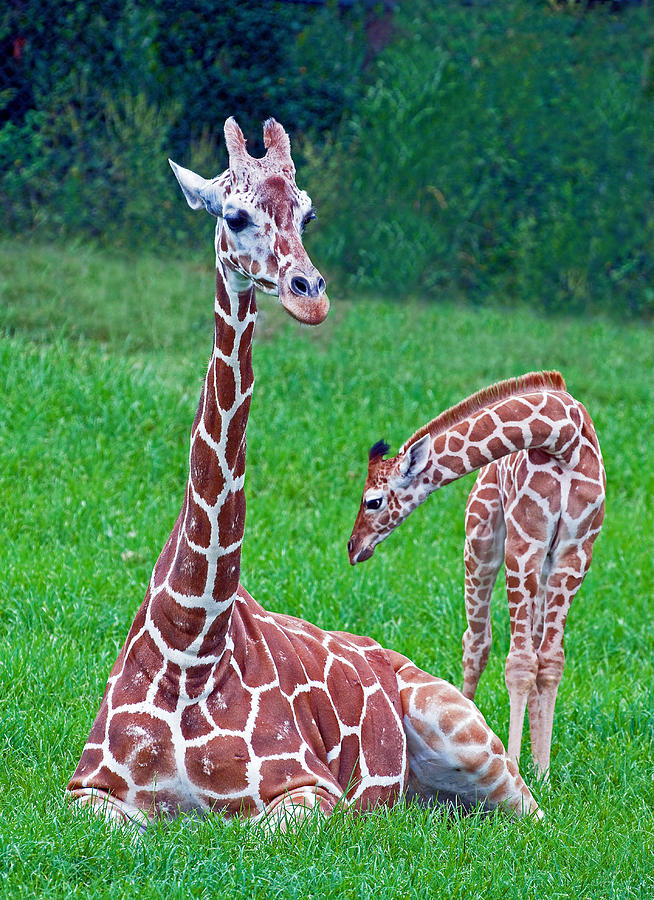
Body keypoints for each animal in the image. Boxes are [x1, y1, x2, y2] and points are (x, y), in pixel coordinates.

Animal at [66, 118, 540, 828]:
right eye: (233, 215)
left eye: (308, 212)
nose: (310, 297)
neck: (188, 646)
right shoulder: (84, 791)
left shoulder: (312, 790)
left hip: (462, 729)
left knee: (537, 812)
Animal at [352, 372, 608, 780]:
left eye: (372, 501)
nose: (354, 547)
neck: (563, 440)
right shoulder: (524, 544)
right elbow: (520, 662)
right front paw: (516, 764)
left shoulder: (576, 552)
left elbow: (548, 662)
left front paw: (542, 770)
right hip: (480, 542)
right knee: (476, 642)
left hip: (535, 562)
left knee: (525, 647)